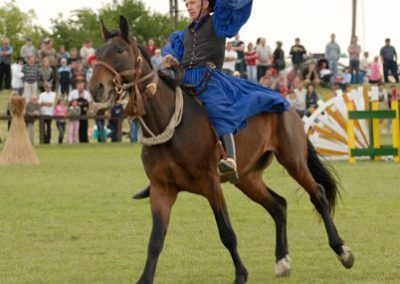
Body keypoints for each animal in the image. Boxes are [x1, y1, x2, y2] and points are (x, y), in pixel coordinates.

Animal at [90, 16, 354, 284]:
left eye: (119, 51)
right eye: (98, 53)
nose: (96, 88)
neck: (168, 124)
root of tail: (287, 104)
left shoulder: (211, 183)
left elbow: (226, 232)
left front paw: (240, 274)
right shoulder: (161, 189)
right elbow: (155, 240)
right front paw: (144, 278)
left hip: (293, 161)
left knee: (318, 194)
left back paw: (342, 251)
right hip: (247, 178)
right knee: (278, 206)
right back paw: (282, 261)